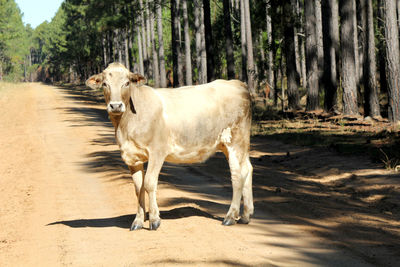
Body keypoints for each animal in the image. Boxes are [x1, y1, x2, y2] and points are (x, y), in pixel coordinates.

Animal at [86, 63, 255, 232]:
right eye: (105, 84)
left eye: (127, 83)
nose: (115, 105)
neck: (125, 125)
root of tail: (238, 84)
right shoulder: (132, 157)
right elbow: (138, 188)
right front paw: (138, 221)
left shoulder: (157, 152)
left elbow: (149, 183)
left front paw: (154, 220)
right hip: (231, 144)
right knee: (247, 169)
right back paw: (246, 215)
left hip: (235, 141)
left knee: (237, 176)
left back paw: (230, 217)